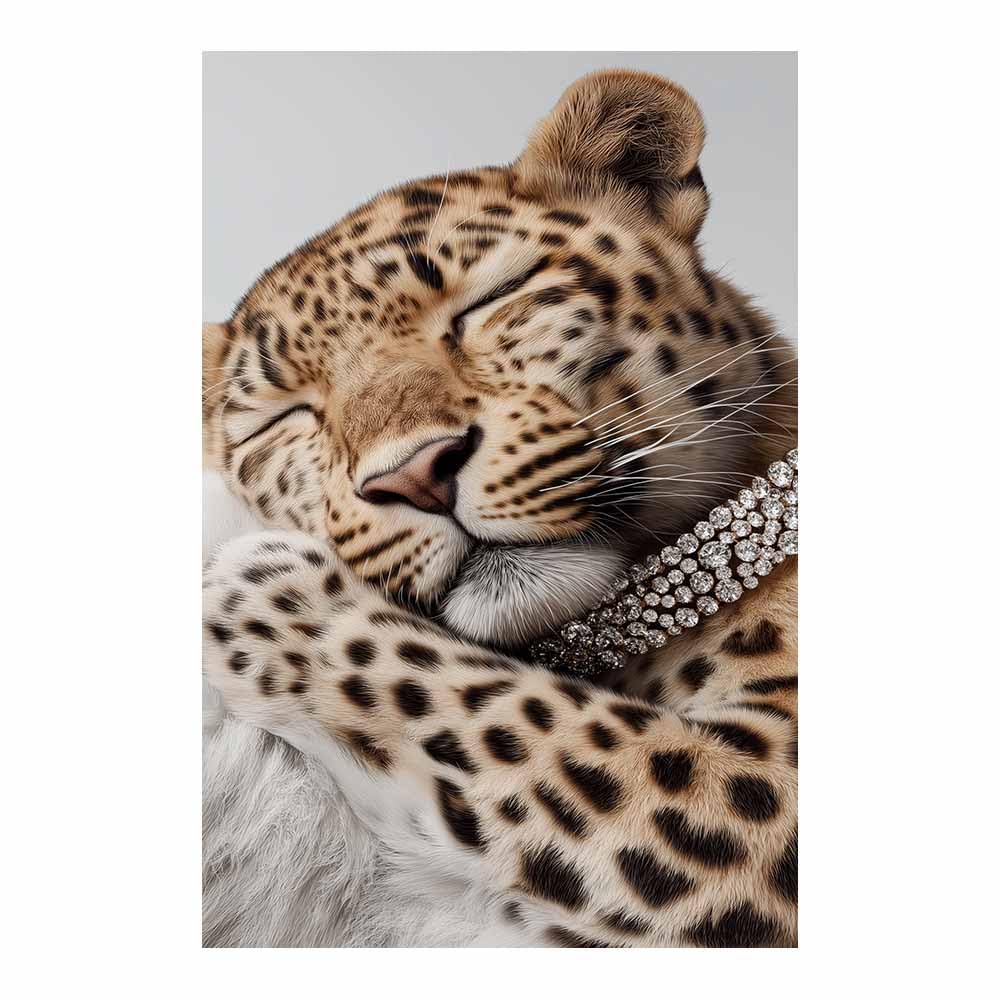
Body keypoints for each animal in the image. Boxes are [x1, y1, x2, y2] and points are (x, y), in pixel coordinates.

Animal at [202, 69, 798, 947]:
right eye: (286, 417)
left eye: (491, 301)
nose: (417, 475)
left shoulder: (759, 790)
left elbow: (510, 709)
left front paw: (267, 592)